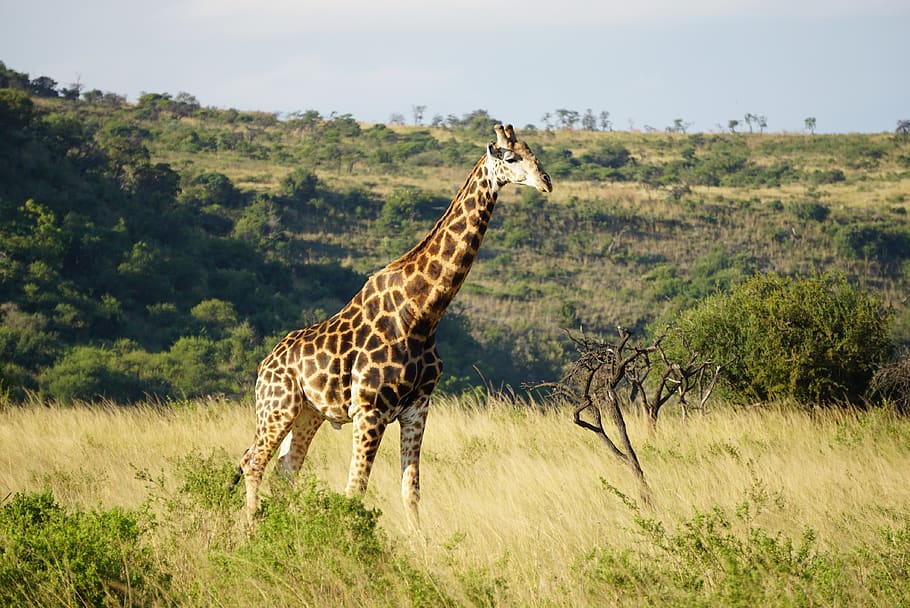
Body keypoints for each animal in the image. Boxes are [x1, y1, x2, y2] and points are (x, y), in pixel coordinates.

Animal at [229, 124, 552, 526]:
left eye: (534, 153)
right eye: (510, 157)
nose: (546, 182)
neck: (424, 314)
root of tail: (264, 364)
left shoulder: (417, 409)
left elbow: (411, 491)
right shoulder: (370, 411)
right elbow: (354, 492)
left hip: (308, 413)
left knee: (286, 469)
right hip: (278, 406)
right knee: (253, 461)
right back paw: (251, 528)